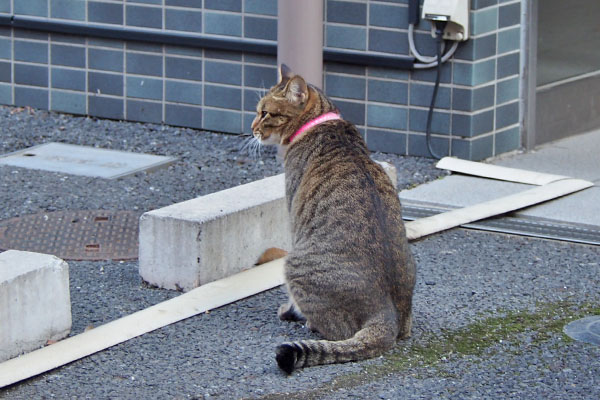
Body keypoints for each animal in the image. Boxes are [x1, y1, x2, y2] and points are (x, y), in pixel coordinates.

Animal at [251, 64, 414, 374]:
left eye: (265, 112)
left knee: (336, 331)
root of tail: (385, 314)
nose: (252, 127)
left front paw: (289, 310)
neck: (322, 122)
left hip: (294, 264)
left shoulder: (294, 219)